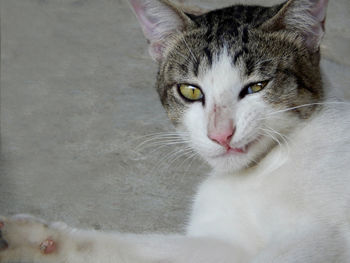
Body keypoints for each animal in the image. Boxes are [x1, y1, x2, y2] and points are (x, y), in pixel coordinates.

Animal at [0, 0, 350, 262]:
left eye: (257, 86)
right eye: (190, 91)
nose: (220, 134)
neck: (260, 172)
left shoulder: (318, 239)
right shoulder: (227, 242)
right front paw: (29, 240)